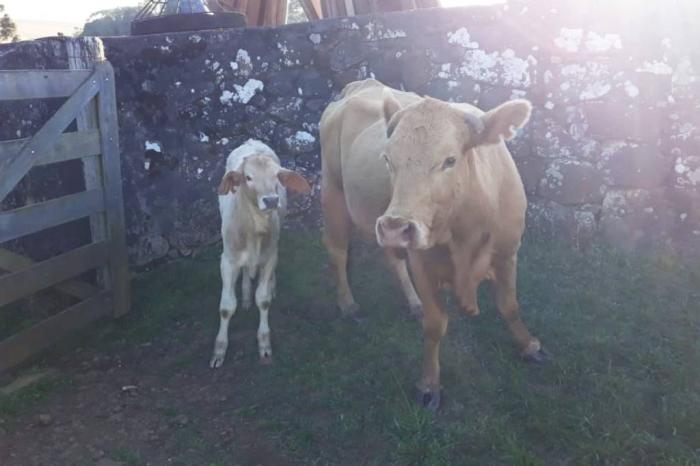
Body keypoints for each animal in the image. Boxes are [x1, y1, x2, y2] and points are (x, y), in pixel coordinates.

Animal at [211, 137, 312, 368]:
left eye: (277, 176)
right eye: (248, 177)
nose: (272, 200)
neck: (253, 231)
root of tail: (251, 141)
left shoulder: (269, 257)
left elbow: (263, 300)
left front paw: (264, 344)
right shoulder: (227, 260)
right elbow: (226, 307)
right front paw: (219, 350)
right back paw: (246, 295)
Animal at [320, 78, 548, 410]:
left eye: (450, 160)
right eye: (387, 159)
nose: (395, 227)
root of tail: (362, 84)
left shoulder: (508, 251)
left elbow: (510, 305)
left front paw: (529, 345)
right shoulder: (423, 263)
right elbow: (435, 324)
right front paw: (429, 385)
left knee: (392, 259)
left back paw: (412, 302)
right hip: (335, 193)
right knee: (337, 252)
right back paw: (348, 304)